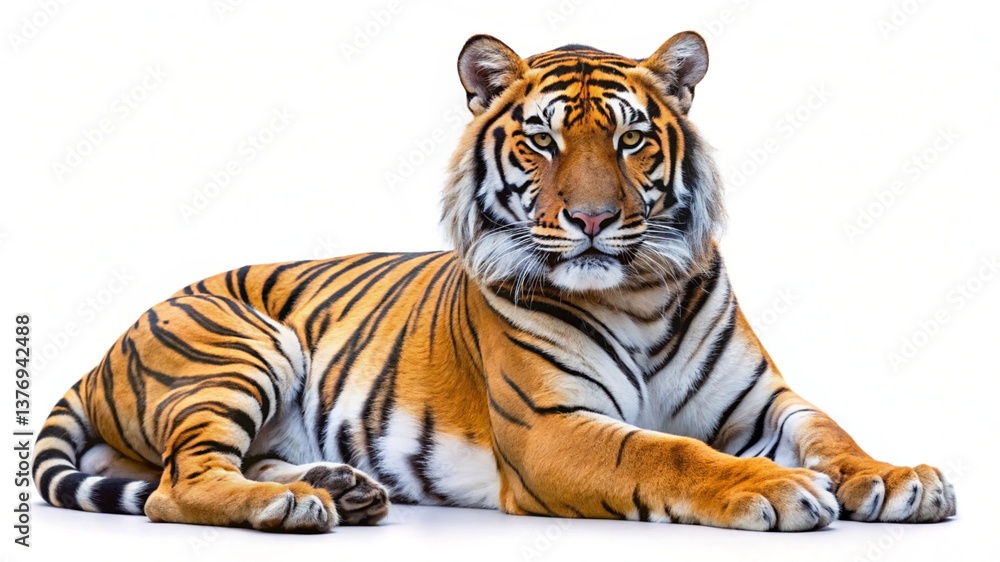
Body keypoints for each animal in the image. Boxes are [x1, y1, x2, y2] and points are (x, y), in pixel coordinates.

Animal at [33, 31, 956, 532]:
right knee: (174, 485)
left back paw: (337, 487)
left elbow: (829, 429)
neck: (641, 293)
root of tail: (105, 348)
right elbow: (666, 451)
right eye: (543, 141)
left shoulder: (764, 401)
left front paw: (895, 478)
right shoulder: (552, 427)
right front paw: (775, 488)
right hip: (240, 348)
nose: (592, 219)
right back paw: (289, 507)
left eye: (630, 141)